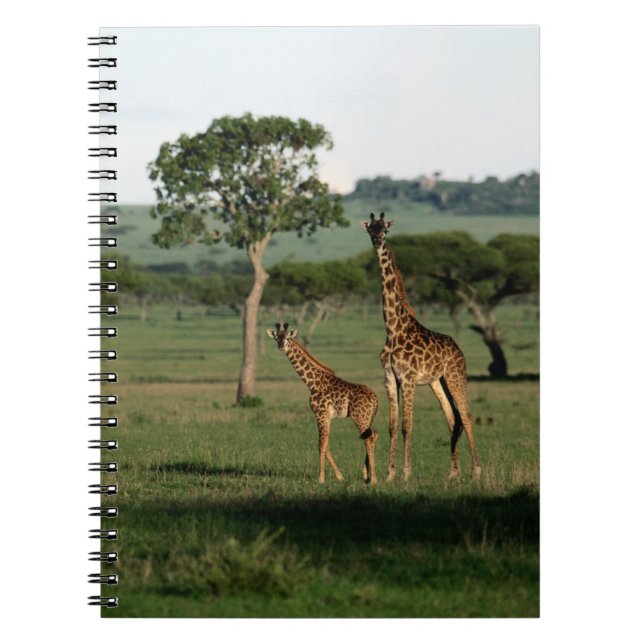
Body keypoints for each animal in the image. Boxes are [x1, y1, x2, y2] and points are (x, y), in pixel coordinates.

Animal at [267, 322, 379, 484]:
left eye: (288, 337)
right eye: (277, 337)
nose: (281, 346)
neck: (312, 383)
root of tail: (375, 399)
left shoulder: (320, 414)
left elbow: (321, 445)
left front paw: (320, 478)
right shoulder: (327, 417)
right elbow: (326, 445)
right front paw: (339, 476)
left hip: (360, 417)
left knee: (368, 438)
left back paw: (374, 479)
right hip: (368, 418)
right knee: (373, 435)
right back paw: (367, 475)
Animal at [362, 212, 482, 481]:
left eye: (385, 230)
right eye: (370, 230)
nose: (377, 241)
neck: (393, 329)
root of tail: (458, 349)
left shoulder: (407, 378)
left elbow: (407, 426)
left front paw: (405, 473)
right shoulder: (390, 378)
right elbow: (392, 425)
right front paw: (390, 474)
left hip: (456, 376)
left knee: (467, 415)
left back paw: (477, 471)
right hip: (438, 381)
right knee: (452, 417)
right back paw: (452, 473)